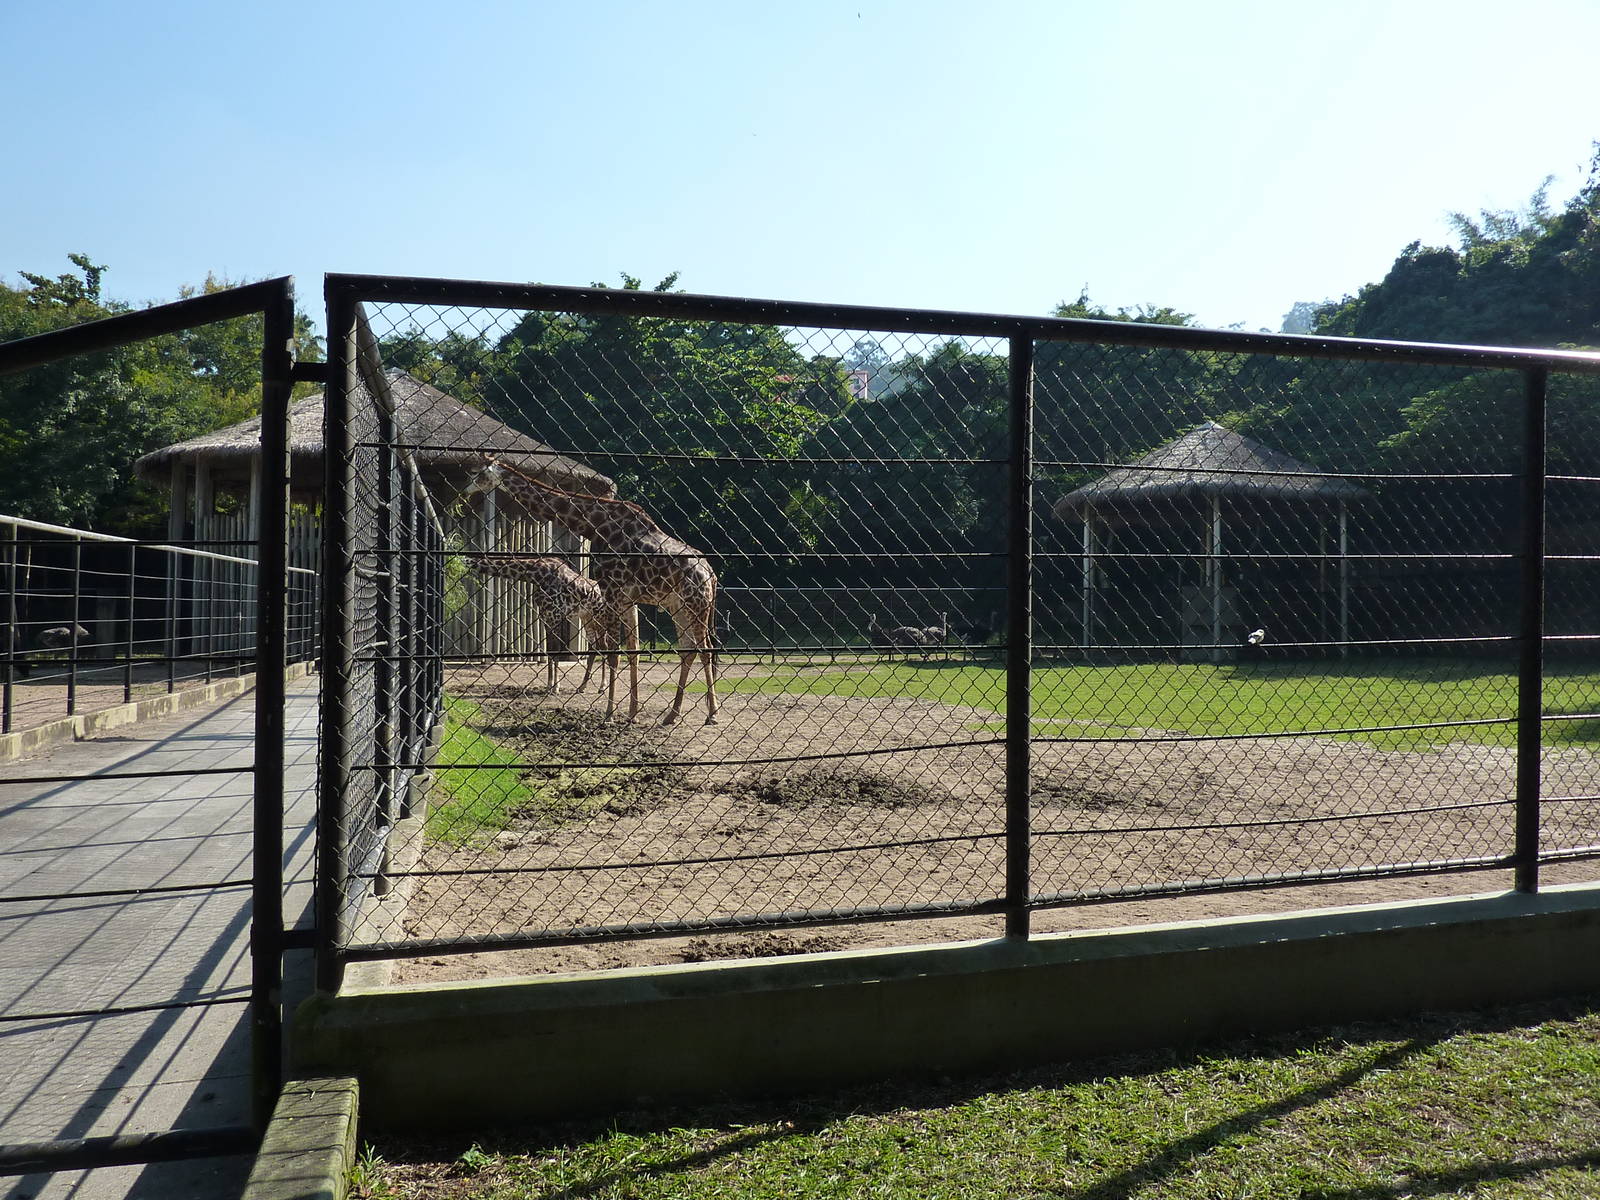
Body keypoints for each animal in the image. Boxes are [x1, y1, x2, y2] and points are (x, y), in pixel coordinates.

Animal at [468, 554, 614, 698]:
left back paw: (602, 686)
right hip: (587, 618)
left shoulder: (555, 616)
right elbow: (549, 651)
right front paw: (549, 686)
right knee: (595, 647)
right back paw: (582, 687)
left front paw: (555, 688)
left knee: (604, 646)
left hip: (600, 619)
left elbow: (555, 651)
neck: (535, 575)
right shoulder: (546, 617)